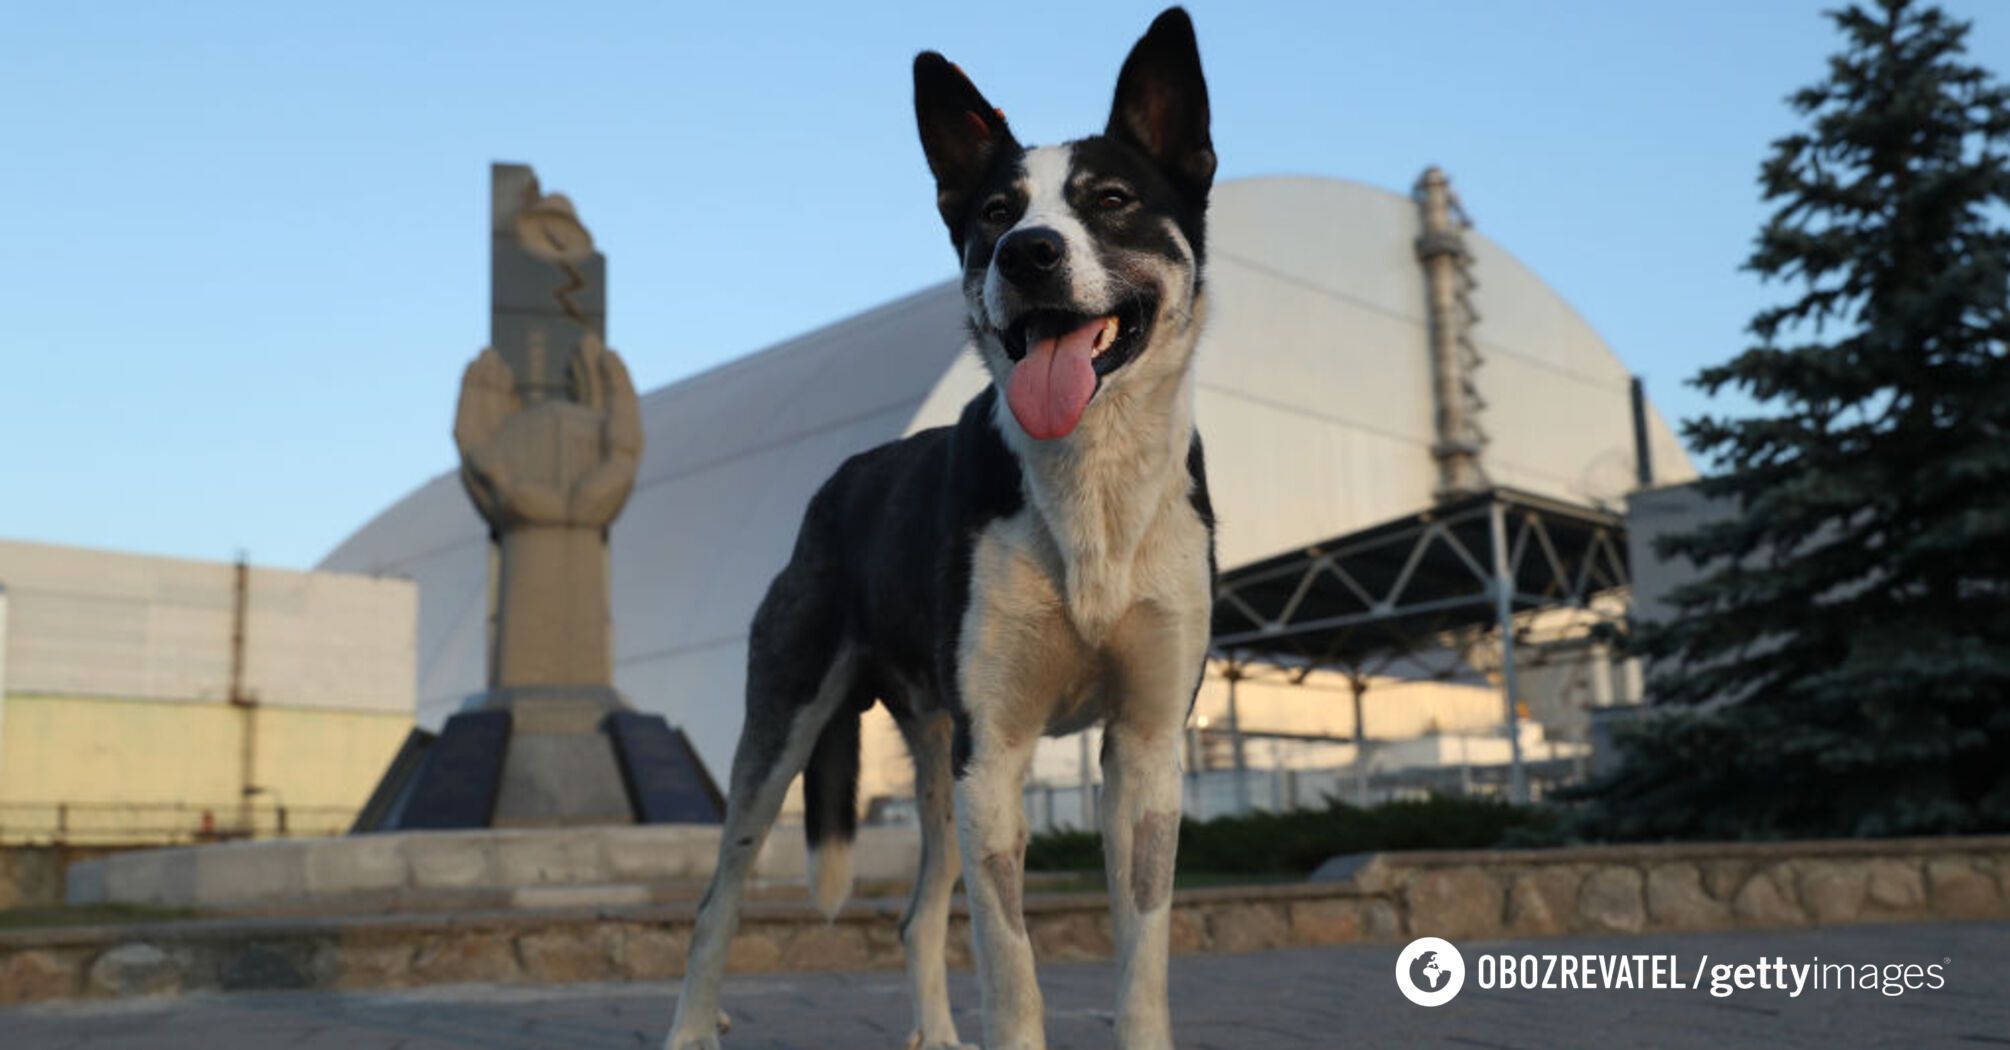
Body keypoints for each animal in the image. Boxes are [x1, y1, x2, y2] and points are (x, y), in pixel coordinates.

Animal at [667, 10, 1214, 1045]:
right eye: (996, 212)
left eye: (1112, 199)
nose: (1028, 253)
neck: (1090, 482)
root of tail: (836, 484)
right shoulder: (993, 754)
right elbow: (1013, 969)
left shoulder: (1145, 748)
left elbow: (1145, 960)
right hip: (786, 731)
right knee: (718, 902)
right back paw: (689, 1025)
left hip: (934, 761)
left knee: (918, 915)